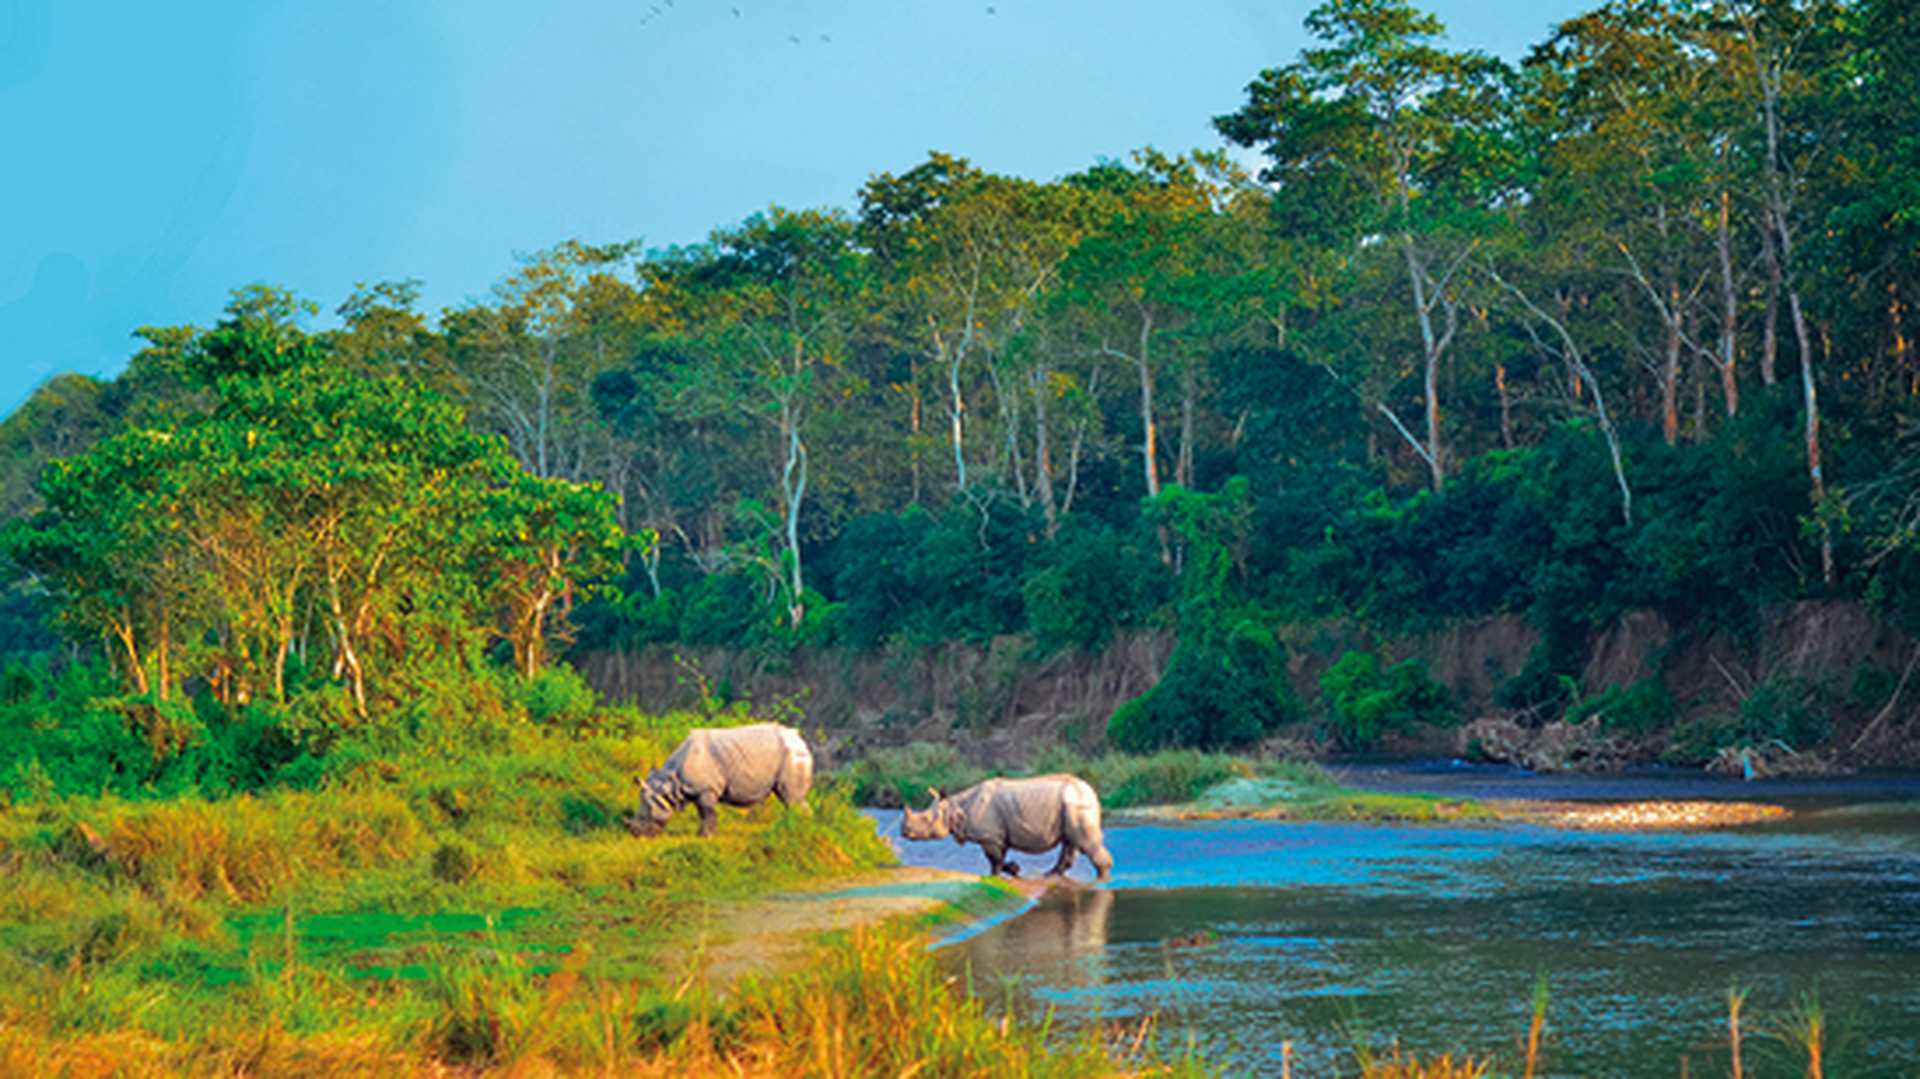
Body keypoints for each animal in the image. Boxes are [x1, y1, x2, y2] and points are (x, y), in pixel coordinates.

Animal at [629, 723, 813, 837]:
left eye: (646, 813)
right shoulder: (698, 789)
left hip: (791, 755)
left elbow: (706, 811)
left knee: (791, 798)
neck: (670, 784)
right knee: (787, 798)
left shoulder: (706, 788)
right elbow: (702, 813)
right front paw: (702, 835)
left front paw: (706, 836)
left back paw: (798, 832)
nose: (636, 834)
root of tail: (799, 738)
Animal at [900, 774, 1114, 881]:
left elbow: (994, 860)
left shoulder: (989, 836)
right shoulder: (997, 836)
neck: (956, 806)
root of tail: (1092, 792)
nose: (904, 832)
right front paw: (1013, 870)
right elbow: (998, 858)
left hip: (1076, 804)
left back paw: (1102, 879)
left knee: (1084, 842)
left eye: (926, 818)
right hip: (1070, 806)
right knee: (1070, 841)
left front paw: (1001, 874)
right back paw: (1050, 875)